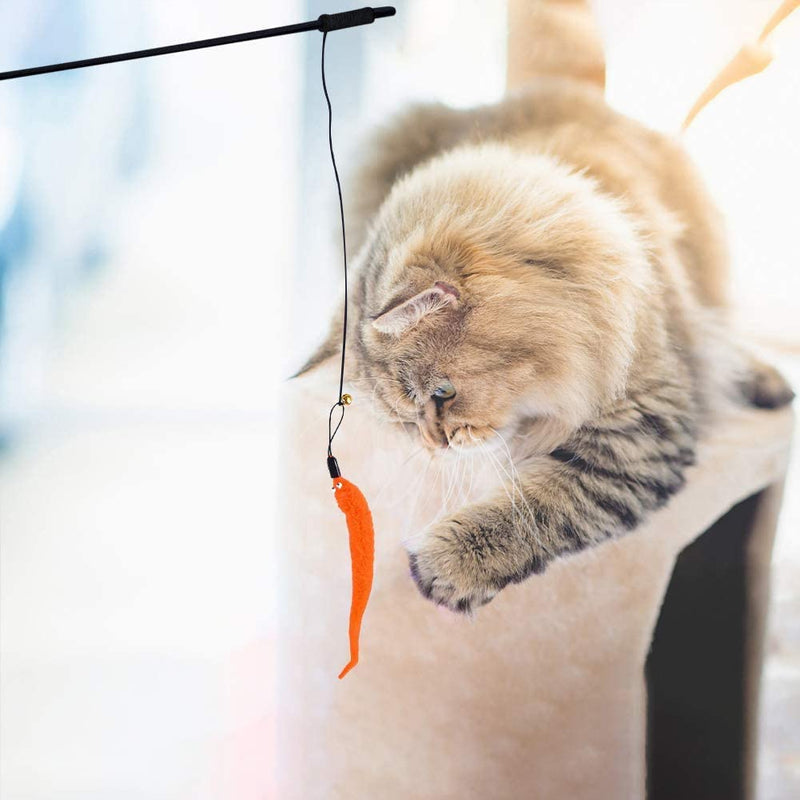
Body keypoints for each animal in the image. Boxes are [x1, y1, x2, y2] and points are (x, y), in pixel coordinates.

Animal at [296, 0, 792, 612]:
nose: (437, 445)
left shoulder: (639, 429)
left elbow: (538, 507)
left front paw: (439, 568)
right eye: (405, 420)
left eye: (442, 394)